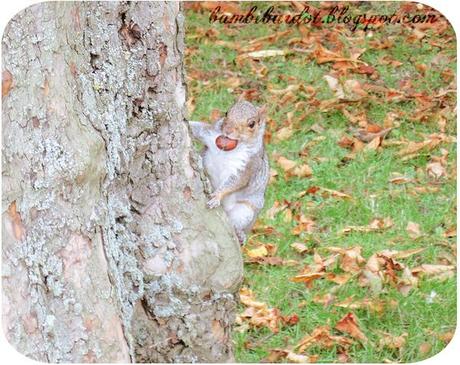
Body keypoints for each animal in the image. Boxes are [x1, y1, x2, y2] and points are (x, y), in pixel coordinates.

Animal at [189, 98, 272, 243]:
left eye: (252, 124)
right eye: (227, 113)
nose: (227, 130)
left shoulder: (249, 165)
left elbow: (235, 182)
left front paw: (217, 195)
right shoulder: (210, 133)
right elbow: (197, 129)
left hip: (245, 211)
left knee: (237, 224)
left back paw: (240, 234)